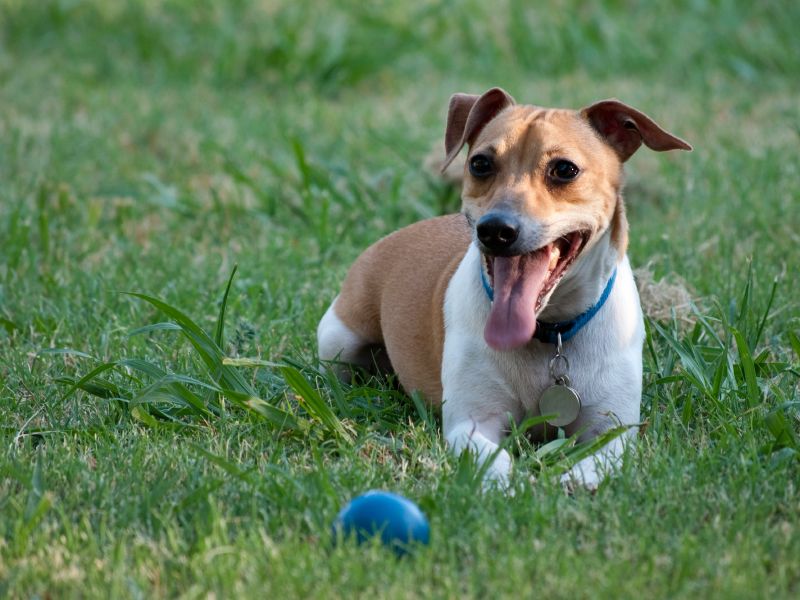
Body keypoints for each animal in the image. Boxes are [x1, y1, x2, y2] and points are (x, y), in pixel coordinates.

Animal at [316, 86, 692, 490]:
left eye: (565, 169)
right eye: (480, 163)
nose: (495, 230)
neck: (550, 332)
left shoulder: (614, 429)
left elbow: (602, 457)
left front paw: (575, 481)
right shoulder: (471, 422)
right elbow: (493, 462)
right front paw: (512, 486)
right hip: (338, 338)